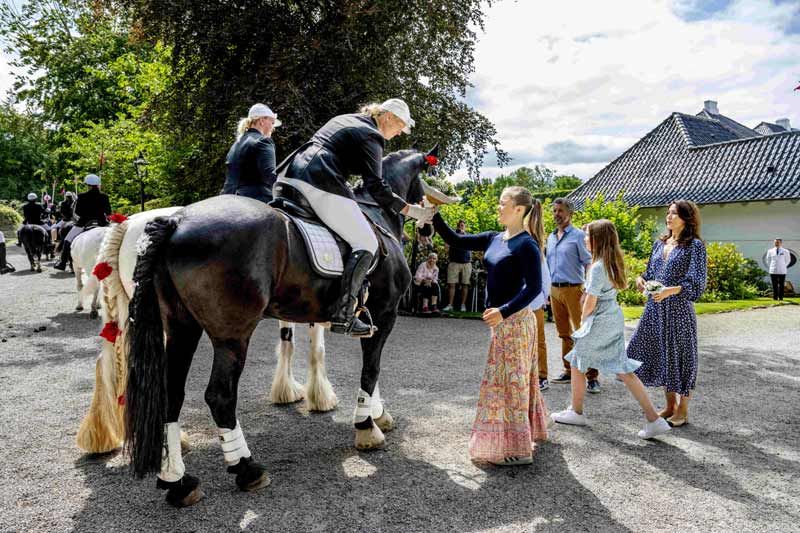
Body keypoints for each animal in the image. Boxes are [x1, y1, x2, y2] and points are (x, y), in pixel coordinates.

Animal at [127, 148, 434, 504]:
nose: (427, 226)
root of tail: (177, 221)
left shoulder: (368, 318)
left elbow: (368, 367)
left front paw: (377, 414)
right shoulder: (385, 314)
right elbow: (371, 370)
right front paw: (367, 427)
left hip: (181, 327)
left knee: (172, 393)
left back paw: (178, 480)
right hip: (232, 335)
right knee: (220, 395)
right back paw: (246, 468)